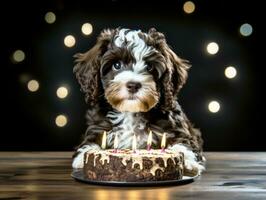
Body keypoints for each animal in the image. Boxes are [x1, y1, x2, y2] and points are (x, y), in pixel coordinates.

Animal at [71, 27, 205, 175]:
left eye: (149, 67)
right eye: (117, 65)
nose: (133, 85)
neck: (130, 111)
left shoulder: (175, 127)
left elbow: (183, 143)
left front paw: (188, 162)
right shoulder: (98, 126)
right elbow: (90, 141)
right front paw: (82, 158)